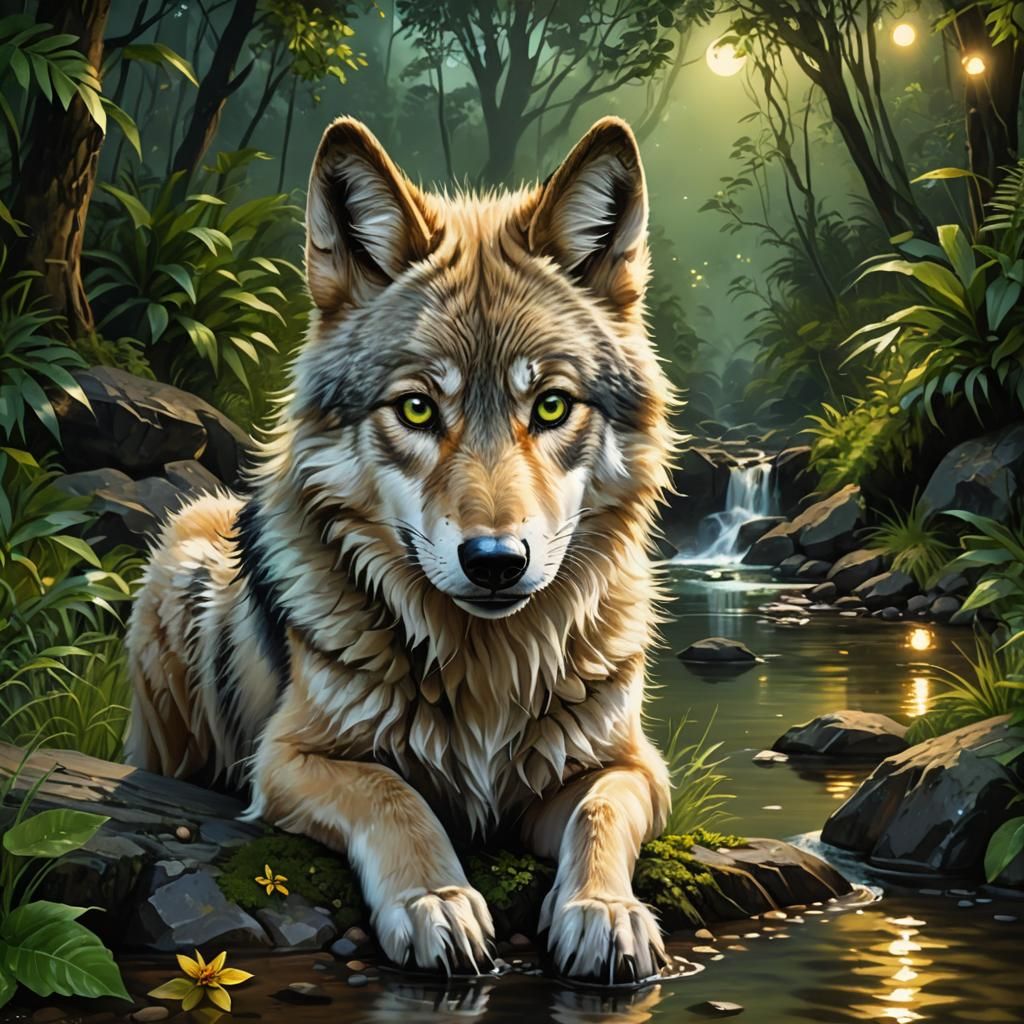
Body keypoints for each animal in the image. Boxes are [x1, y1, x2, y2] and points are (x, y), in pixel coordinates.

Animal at [126, 115, 676, 982]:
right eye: (417, 409)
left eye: (552, 405)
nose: (496, 560)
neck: (488, 668)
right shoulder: (286, 760)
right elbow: (396, 796)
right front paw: (435, 902)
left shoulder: (631, 763)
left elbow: (600, 811)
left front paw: (603, 912)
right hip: (183, 555)